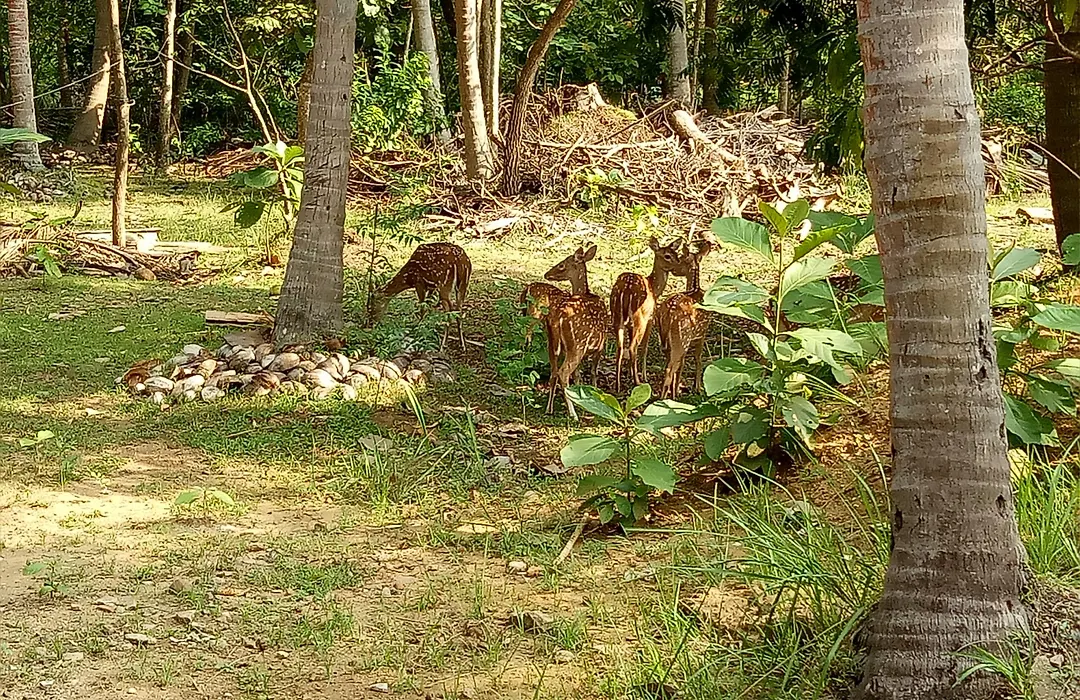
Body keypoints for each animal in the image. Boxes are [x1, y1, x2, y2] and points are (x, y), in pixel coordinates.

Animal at [542, 246, 610, 419]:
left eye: (561, 264)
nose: (546, 274)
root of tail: (559, 317)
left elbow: (578, 376)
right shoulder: (601, 345)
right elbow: (593, 371)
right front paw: (596, 395)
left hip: (553, 343)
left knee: (554, 372)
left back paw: (549, 409)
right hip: (577, 344)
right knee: (563, 373)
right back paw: (573, 414)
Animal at [609, 237, 693, 393]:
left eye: (676, 253)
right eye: (667, 255)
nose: (678, 266)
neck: (654, 287)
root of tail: (625, 291)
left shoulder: (629, 325)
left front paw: (630, 373)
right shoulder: (650, 318)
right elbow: (645, 347)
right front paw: (643, 376)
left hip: (616, 316)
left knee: (620, 347)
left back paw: (617, 385)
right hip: (640, 318)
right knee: (633, 347)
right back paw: (638, 382)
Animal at [656, 237, 715, 399]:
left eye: (680, 258)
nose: (673, 270)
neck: (695, 289)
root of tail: (670, 313)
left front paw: (677, 390)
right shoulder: (702, 332)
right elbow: (698, 358)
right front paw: (697, 387)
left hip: (667, 338)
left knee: (670, 364)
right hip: (682, 337)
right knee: (670, 368)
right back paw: (664, 398)